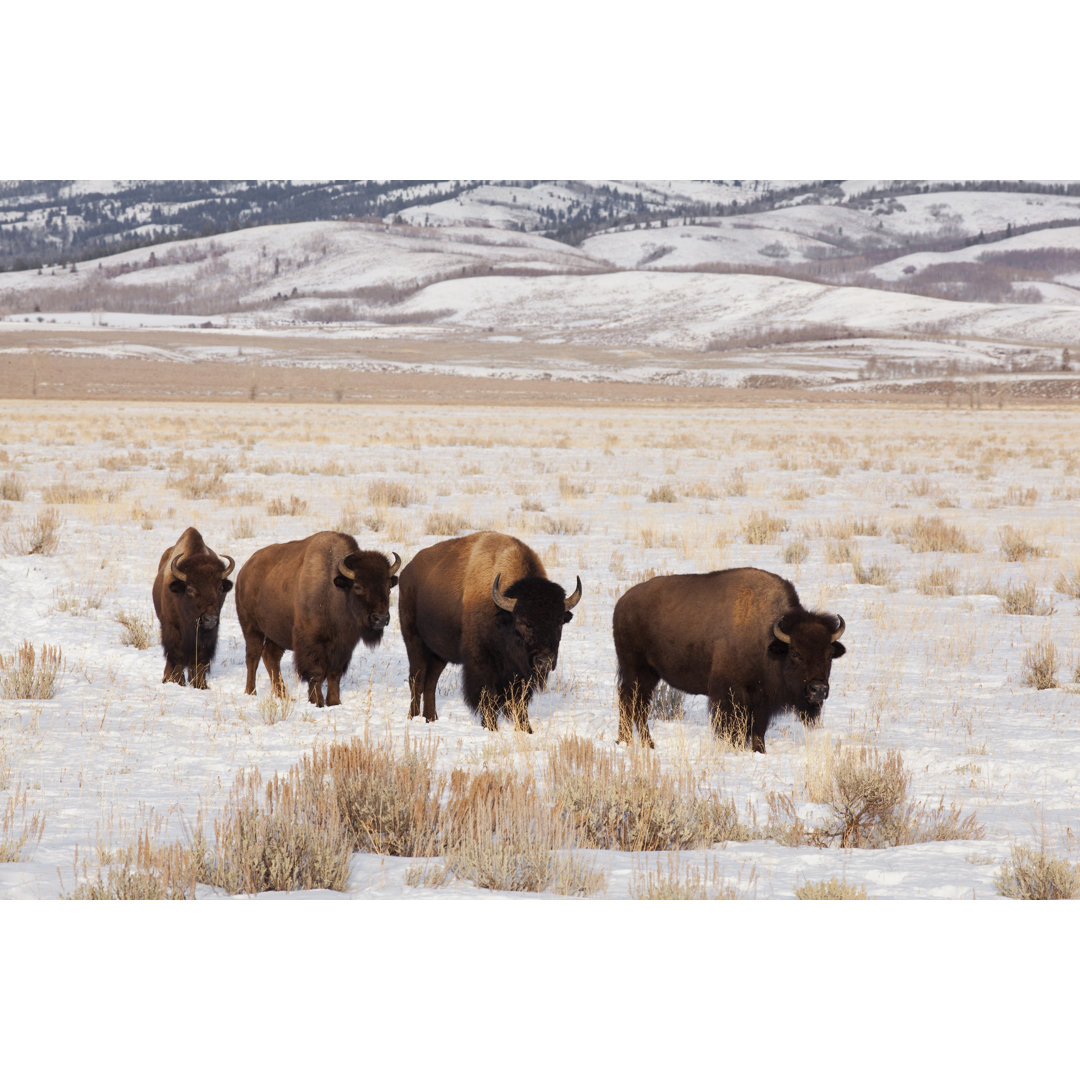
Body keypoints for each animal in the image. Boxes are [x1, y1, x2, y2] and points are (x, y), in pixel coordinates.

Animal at [152, 524, 234, 691]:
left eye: (220, 588)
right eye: (190, 589)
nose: (210, 619)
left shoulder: (208, 635)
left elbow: (201, 659)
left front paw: (201, 685)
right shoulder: (172, 628)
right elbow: (176, 656)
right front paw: (178, 682)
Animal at [235, 531, 401, 708]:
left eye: (388, 587)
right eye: (358, 586)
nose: (381, 619)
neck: (334, 589)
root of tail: (245, 570)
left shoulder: (342, 646)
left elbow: (334, 674)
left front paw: (335, 702)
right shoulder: (311, 642)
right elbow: (317, 673)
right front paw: (317, 701)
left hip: (277, 634)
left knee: (270, 657)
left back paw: (284, 696)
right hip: (252, 628)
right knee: (253, 657)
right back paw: (251, 692)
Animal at [399, 531, 583, 734]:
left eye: (559, 623)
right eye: (523, 622)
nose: (544, 661)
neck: (503, 616)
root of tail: (407, 572)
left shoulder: (519, 673)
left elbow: (519, 701)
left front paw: (527, 730)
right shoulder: (482, 663)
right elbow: (489, 697)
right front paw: (491, 728)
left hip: (439, 654)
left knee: (431, 682)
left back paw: (431, 718)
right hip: (414, 642)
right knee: (417, 679)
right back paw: (413, 717)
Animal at [613, 570, 846, 756]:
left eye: (828, 654)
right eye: (796, 653)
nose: (818, 689)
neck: (768, 638)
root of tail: (623, 602)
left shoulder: (762, 700)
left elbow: (758, 729)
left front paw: (759, 751)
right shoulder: (731, 694)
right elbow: (734, 726)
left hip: (650, 674)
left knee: (638, 706)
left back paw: (646, 744)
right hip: (635, 669)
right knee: (629, 702)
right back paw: (628, 742)